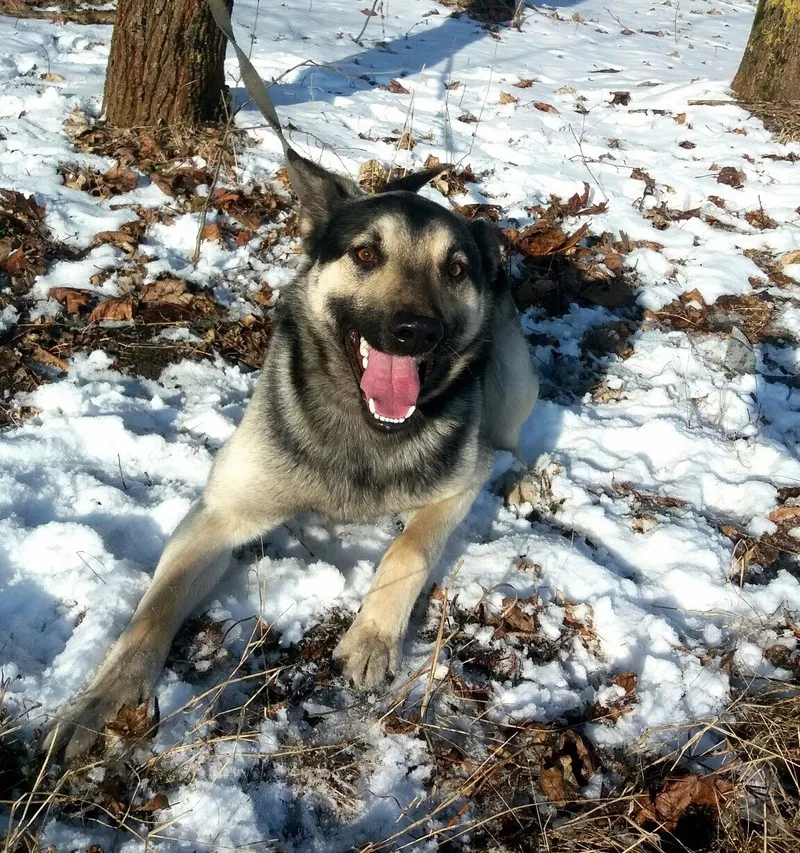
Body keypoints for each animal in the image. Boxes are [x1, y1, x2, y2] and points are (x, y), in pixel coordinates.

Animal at [47, 151, 540, 760]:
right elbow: (153, 611)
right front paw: (104, 698)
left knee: (509, 440)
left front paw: (372, 638)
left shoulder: (462, 481)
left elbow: (410, 549)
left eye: (454, 270)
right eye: (365, 254)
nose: (416, 331)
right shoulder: (219, 517)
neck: (364, 426)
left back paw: (524, 479)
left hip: (511, 378)